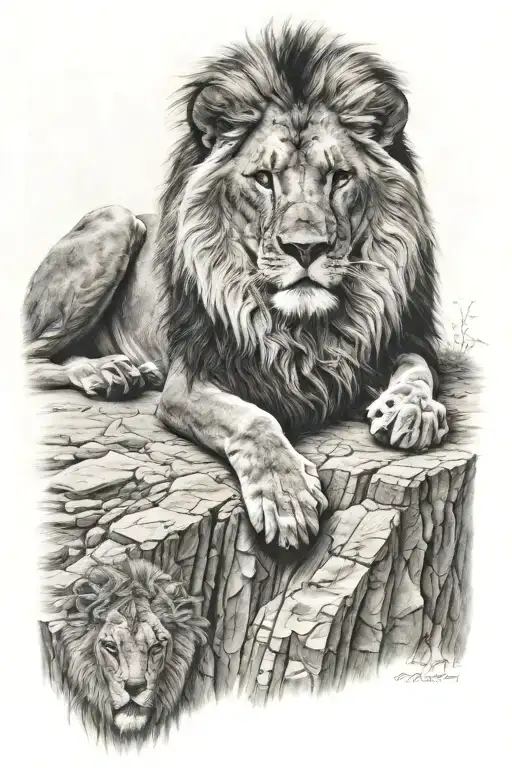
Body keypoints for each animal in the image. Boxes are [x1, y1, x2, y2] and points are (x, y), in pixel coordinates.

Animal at [24, 23, 448, 550]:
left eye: (339, 178)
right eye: (264, 179)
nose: (305, 248)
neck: (302, 326)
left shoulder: (392, 339)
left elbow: (418, 368)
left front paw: (412, 411)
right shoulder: (189, 379)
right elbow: (255, 419)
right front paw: (287, 499)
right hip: (117, 222)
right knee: (30, 356)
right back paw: (107, 372)